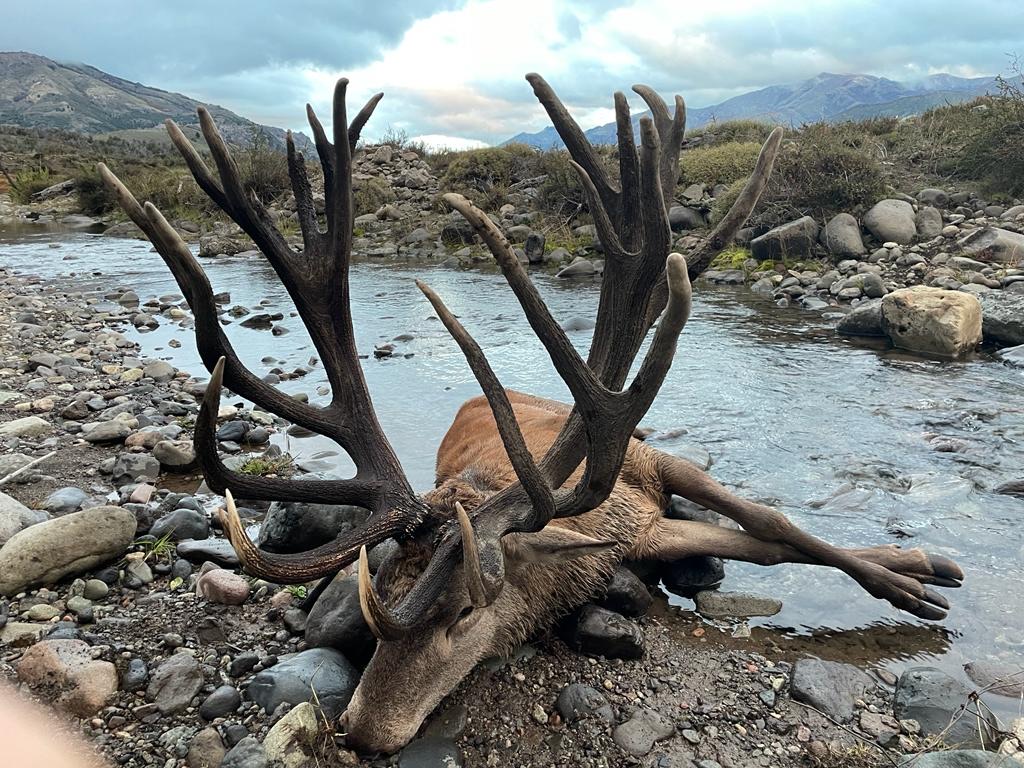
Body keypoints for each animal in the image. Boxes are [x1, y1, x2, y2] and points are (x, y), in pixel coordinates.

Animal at [97, 73, 964, 756]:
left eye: (462, 612)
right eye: (381, 608)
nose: (363, 731)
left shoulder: (648, 461)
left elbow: (775, 524)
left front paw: (916, 579)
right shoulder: (636, 531)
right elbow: (765, 546)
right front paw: (911, 571)